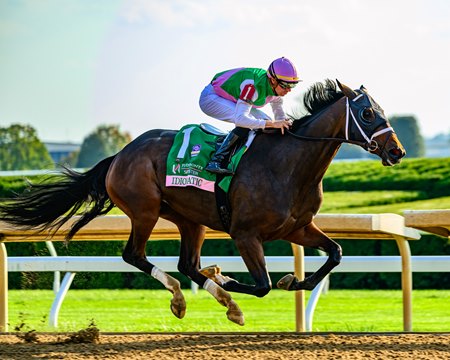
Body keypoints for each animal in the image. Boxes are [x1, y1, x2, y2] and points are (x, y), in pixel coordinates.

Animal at [0, 79, 404, 326]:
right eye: (367, 113)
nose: (397, 151)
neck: (288, 165)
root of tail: (119, 155)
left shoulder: (297, 227)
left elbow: (335, 253)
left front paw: (292, 280)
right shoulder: (245, 234)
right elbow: (262, 285)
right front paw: (228, 276)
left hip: (190, 220)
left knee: (187, 265)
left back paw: (219, 298)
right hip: (145, 211)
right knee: (136, 256)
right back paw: (186, 298)